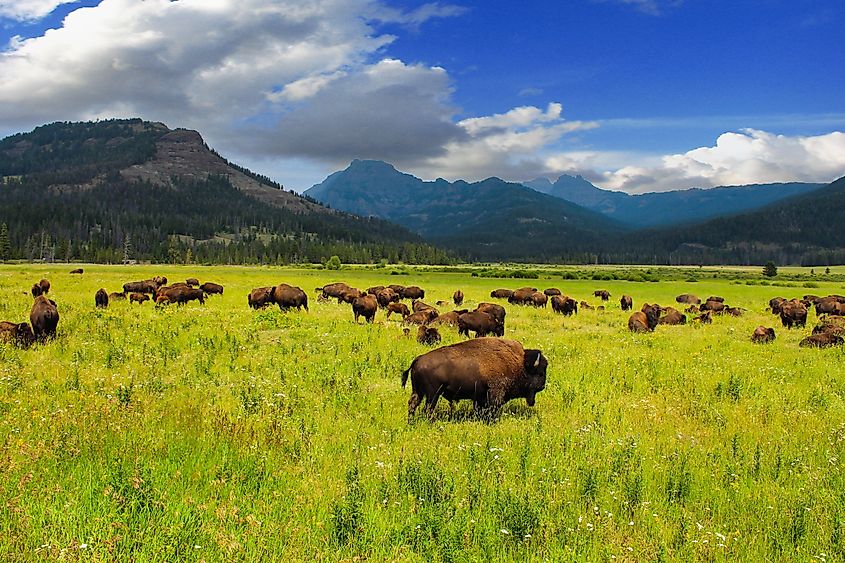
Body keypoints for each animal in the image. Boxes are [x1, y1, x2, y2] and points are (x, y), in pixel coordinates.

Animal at [401, 338, 548, 419]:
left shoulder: (480, 396)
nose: (542, 386)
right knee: (428, 409)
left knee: (412, 404)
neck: (520, 364)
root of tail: (418, 359)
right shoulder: (495, 392)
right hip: (433, 394)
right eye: (540, 373)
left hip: (418, 392)